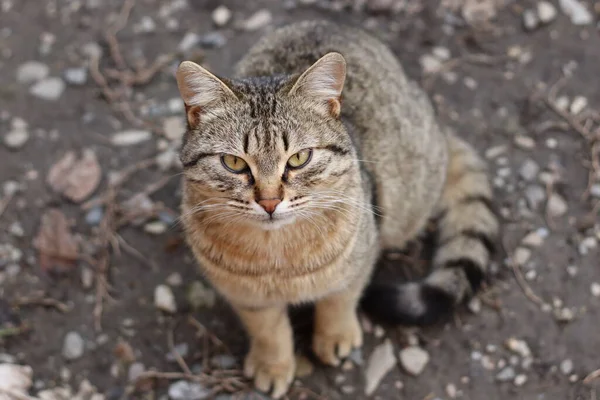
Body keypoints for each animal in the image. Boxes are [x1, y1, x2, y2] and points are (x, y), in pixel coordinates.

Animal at [176, 20, 500, 398]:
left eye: (299, 158)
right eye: (233, 163)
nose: (269, 201)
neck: (278, 257)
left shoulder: (359, 258)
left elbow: (339, 301)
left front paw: (335, 336)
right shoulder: (244, 294)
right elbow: (267, 330)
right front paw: (274, 364)